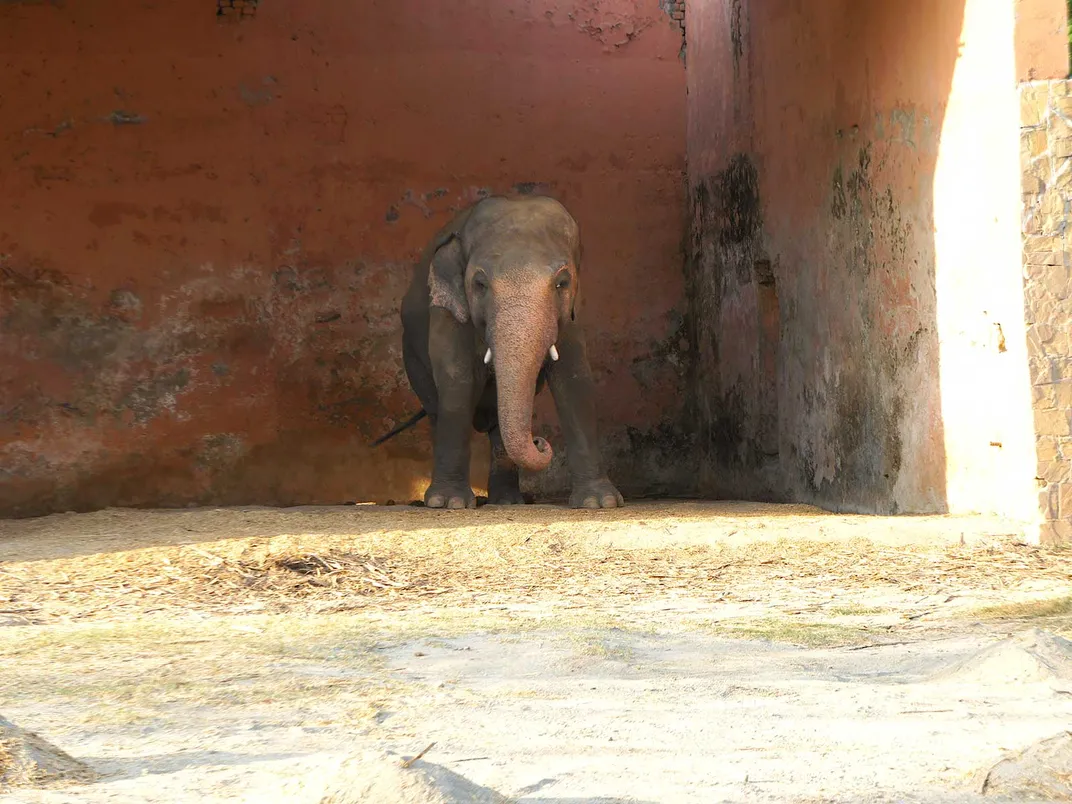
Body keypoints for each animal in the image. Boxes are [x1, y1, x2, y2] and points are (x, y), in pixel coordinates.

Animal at [375, 195, 621, 510]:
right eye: (480, 285)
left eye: (561, 284)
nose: (540, 441)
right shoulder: (447, 315)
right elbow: (458, 379)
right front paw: (449, 503)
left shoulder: (571, 318)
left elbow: (575, 381)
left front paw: (599, 503)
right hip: (411, 356)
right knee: (436, 411)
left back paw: (507, 502)